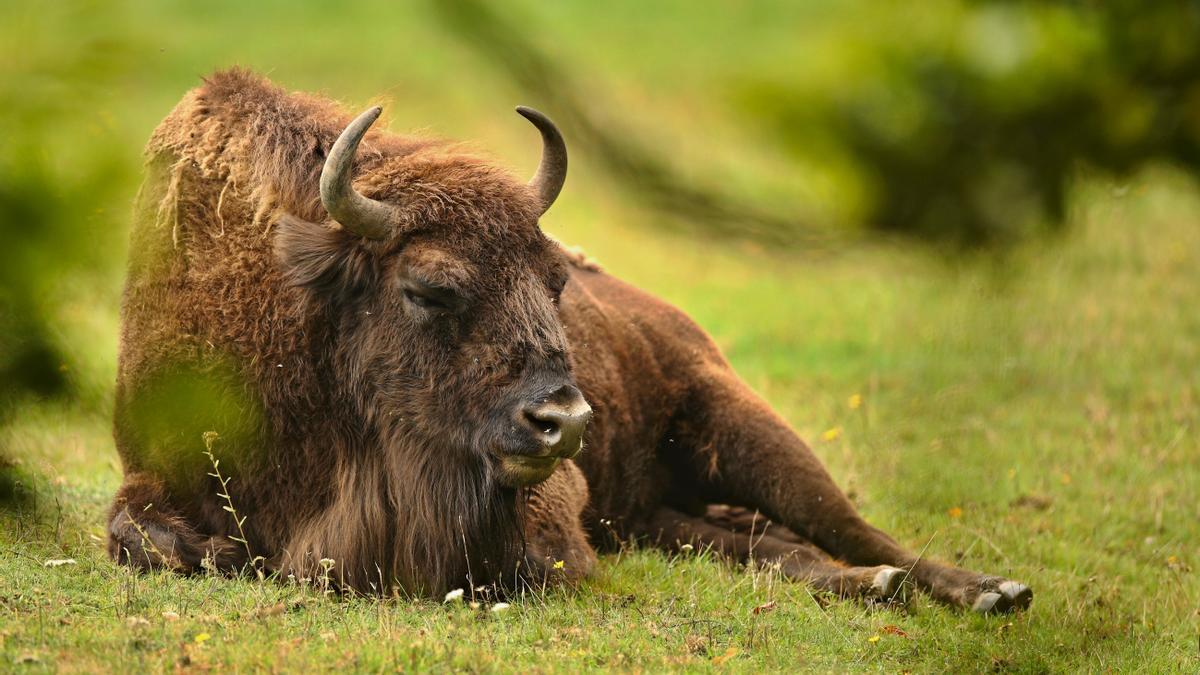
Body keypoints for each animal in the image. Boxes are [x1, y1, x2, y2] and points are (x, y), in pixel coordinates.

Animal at [110, 70, 1032, 612]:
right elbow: (145, 539)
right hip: (658, 514)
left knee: (851, 527)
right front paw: (216, 549)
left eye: (554, 277)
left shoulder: (549, 510)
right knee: (767, 545)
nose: (566, 421)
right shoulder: (147, 474)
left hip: (747, 429)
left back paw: (989, 589)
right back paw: (885, 586)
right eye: (429, 287)